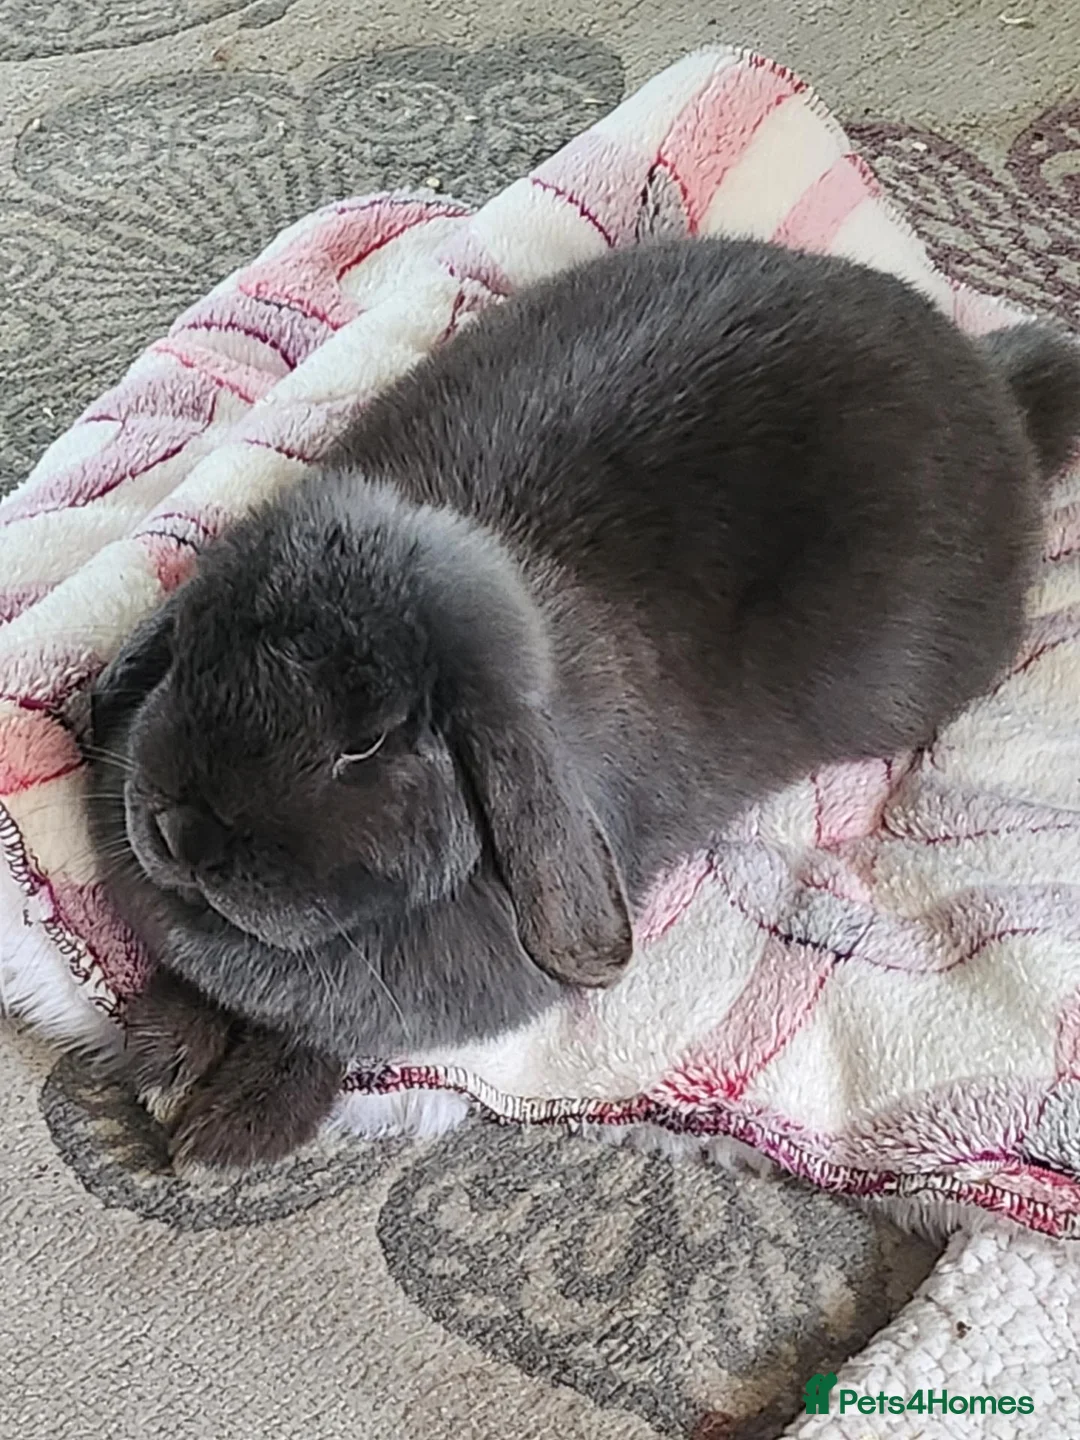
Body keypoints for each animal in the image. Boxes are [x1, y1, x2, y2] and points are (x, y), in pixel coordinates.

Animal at [87, 236, 1080, 1172]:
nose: (182, 834)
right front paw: (162, 1054)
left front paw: (231, 1126)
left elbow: (320, 1036)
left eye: (364, 743)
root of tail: (986, 377)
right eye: (192, 649)